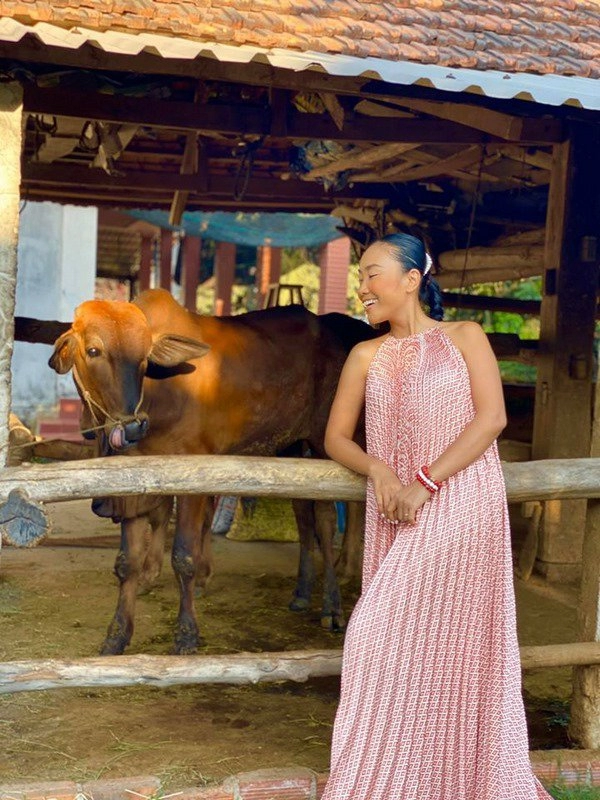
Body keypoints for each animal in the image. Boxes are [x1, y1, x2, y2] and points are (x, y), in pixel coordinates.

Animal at [49, 290, 376, 652]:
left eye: (146, 357)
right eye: (93, 350)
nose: (133, 426)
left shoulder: (192, 479)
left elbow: (184, 557)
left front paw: (187, 634)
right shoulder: (131, 488)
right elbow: (126, 562)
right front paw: (117, 636)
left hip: (323, 444)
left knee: (326, 520)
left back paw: (332, 605)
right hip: (291, 448)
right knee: (304, 517)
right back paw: (302, 593)